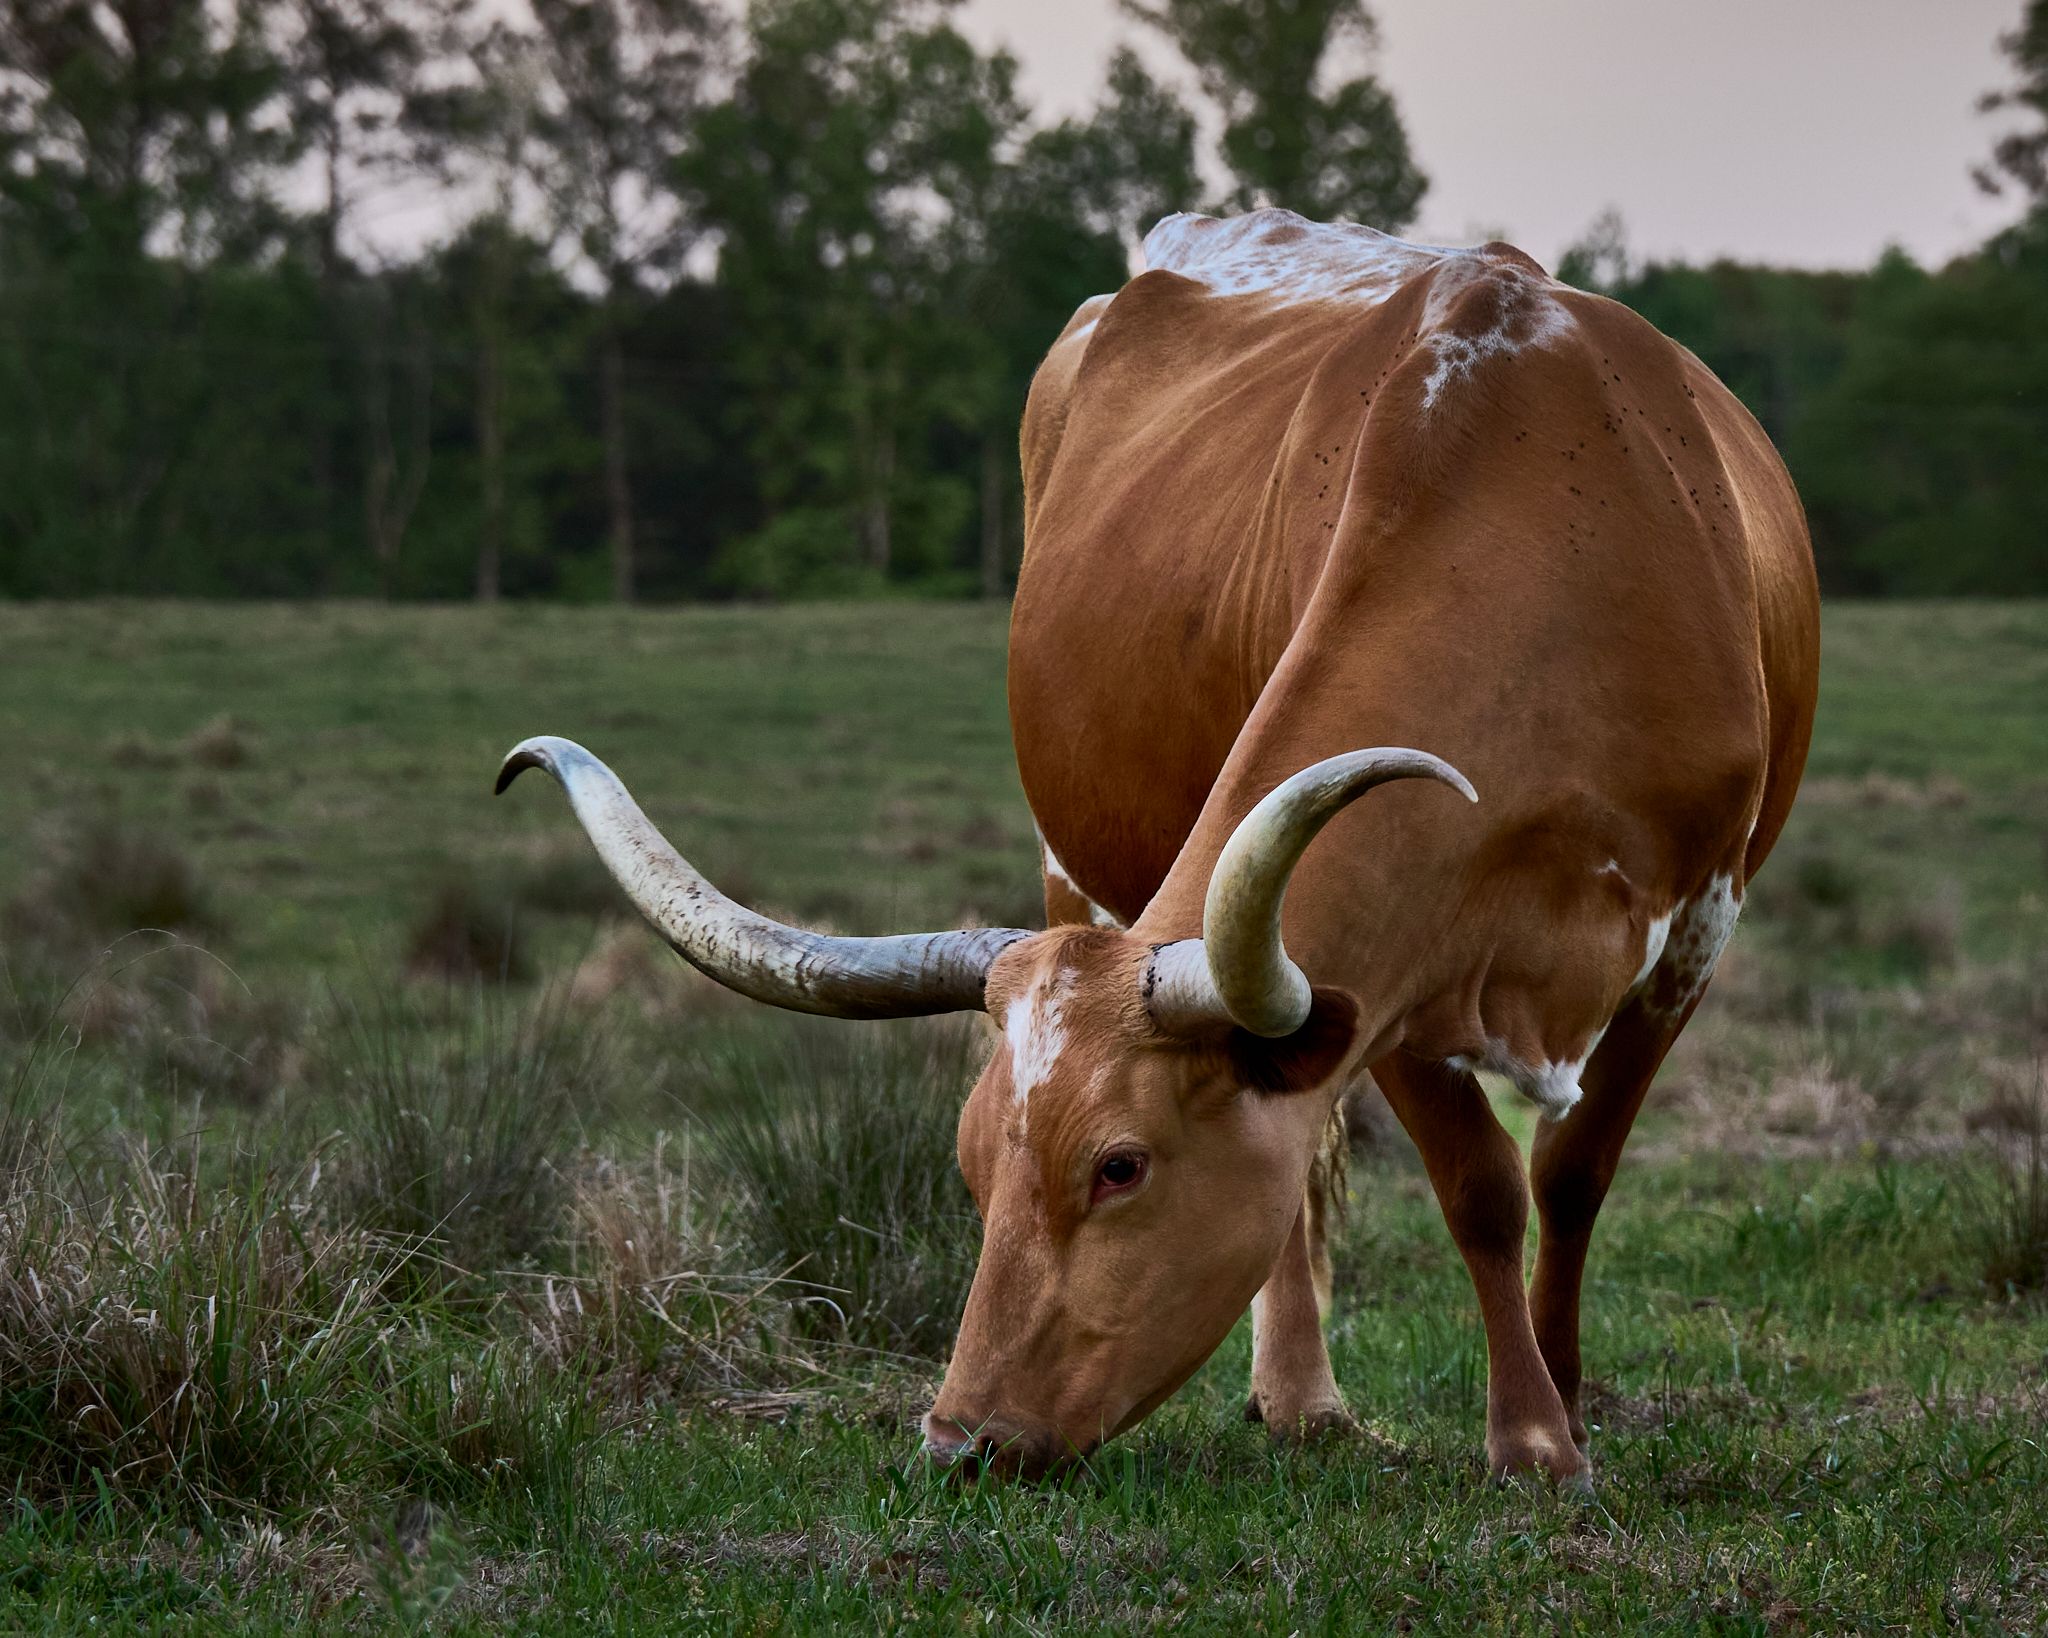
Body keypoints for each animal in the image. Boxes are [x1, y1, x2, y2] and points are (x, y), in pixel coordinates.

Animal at [498, 208, 1820, 1488]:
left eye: (1119, 1167)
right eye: (969, 1169)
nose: (959, 1443)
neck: (1536, 539)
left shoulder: (1696, 925)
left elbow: (1566, 1172)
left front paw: (1557, 1420)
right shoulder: (1392, 971)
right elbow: (1479, 1187)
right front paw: (1530, 1435)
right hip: (1074, 864)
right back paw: (1302, 1402)